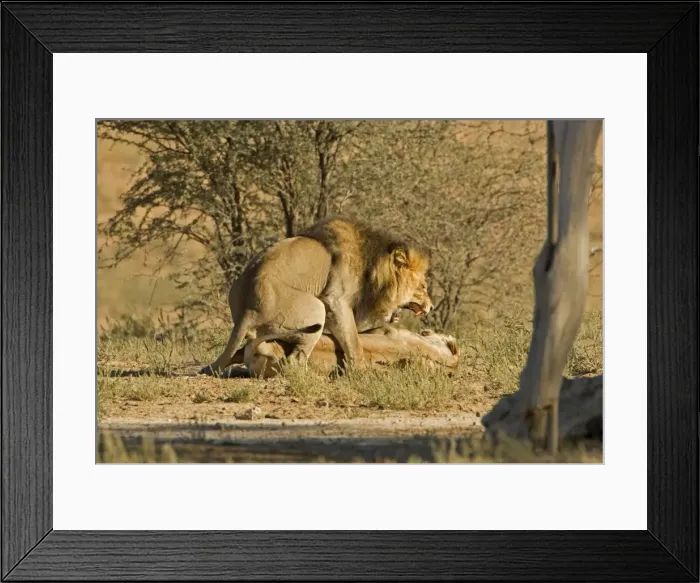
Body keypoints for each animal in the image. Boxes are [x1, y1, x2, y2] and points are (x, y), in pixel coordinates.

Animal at [199, 217, 433, 376]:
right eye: (423, 286)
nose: (431, 307)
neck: (372, 269)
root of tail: (248, 311)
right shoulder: (335, 301)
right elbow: (353, 340)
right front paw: (359, 370)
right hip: (315, 309)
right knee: (295, 361)